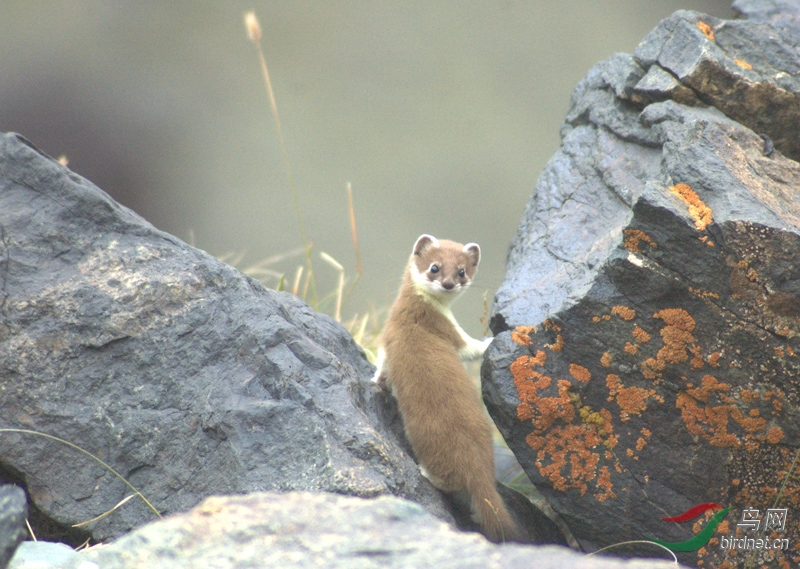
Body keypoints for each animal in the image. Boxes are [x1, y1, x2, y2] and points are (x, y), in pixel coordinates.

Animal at [370, 234, 520, 540]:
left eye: (462, 271)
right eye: (435, 267)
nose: (450, 283)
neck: (413, 308)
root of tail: (481, 472)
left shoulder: (391, 335)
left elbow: (383, 363)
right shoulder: (441, 328)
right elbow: (470, 348)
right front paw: (491, 341)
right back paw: (426, 473)